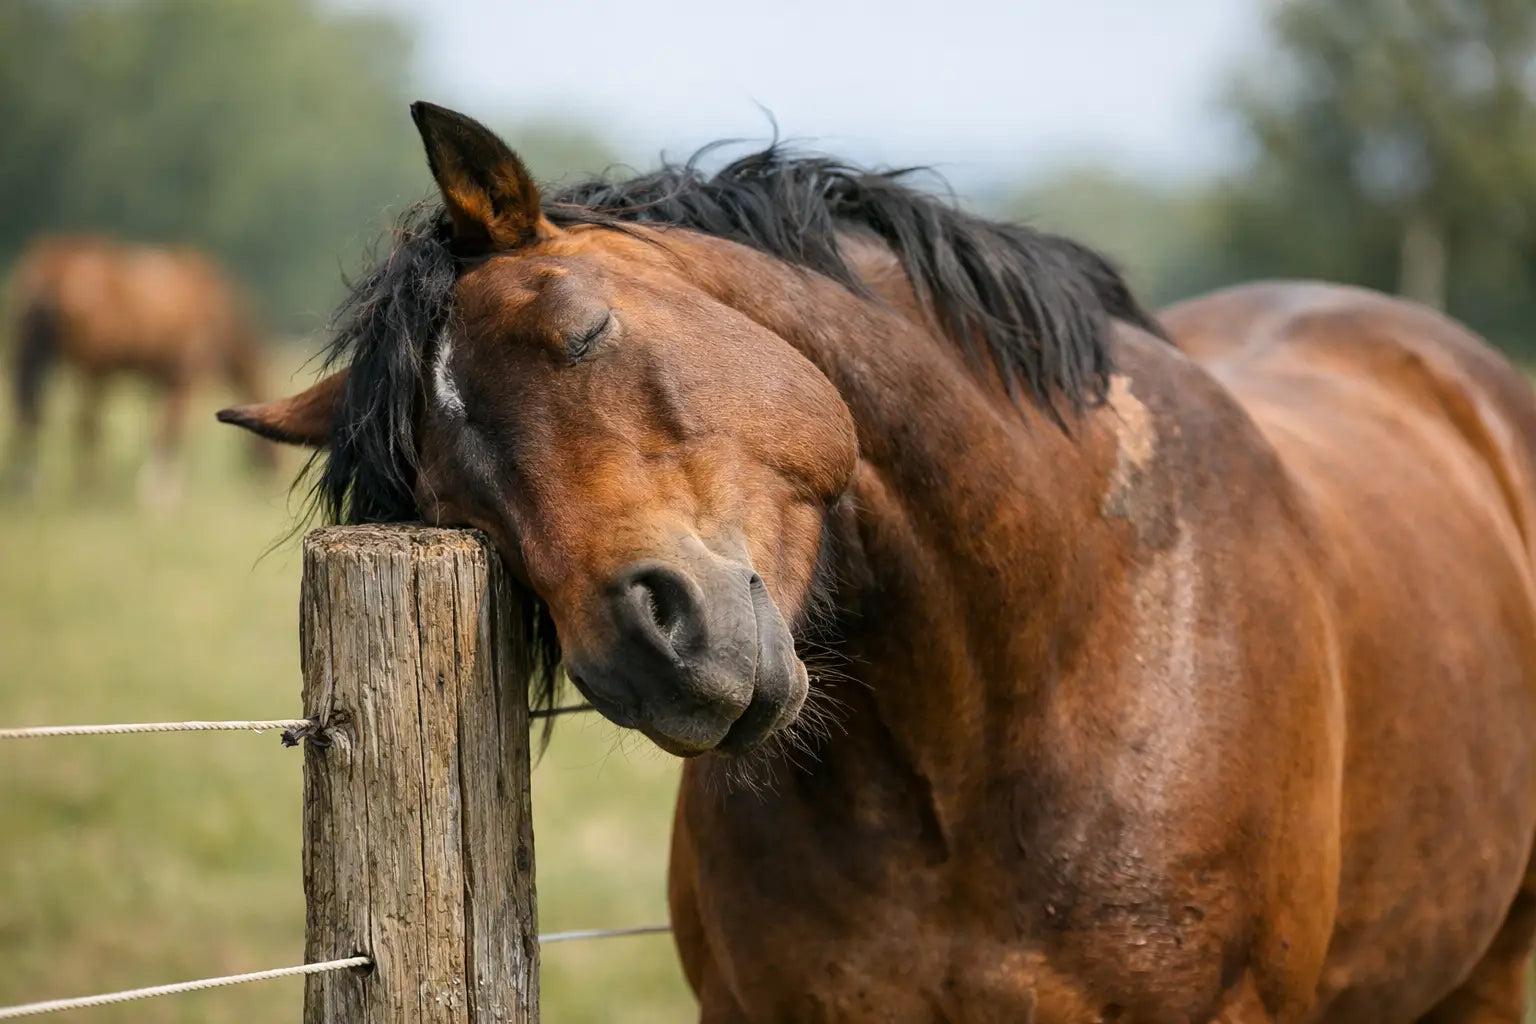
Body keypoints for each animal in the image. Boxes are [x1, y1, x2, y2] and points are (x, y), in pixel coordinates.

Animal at [6, 235, 274, 500]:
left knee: (30, 413)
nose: (269, 478)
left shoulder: (158, 381)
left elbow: (155, 423)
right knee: (85, 422)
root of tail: (54, 268)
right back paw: (92, 486)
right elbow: (171, 428)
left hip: (30, 354)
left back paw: (27, 482)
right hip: (95, 368)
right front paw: (160, 492)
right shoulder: (185, 375)